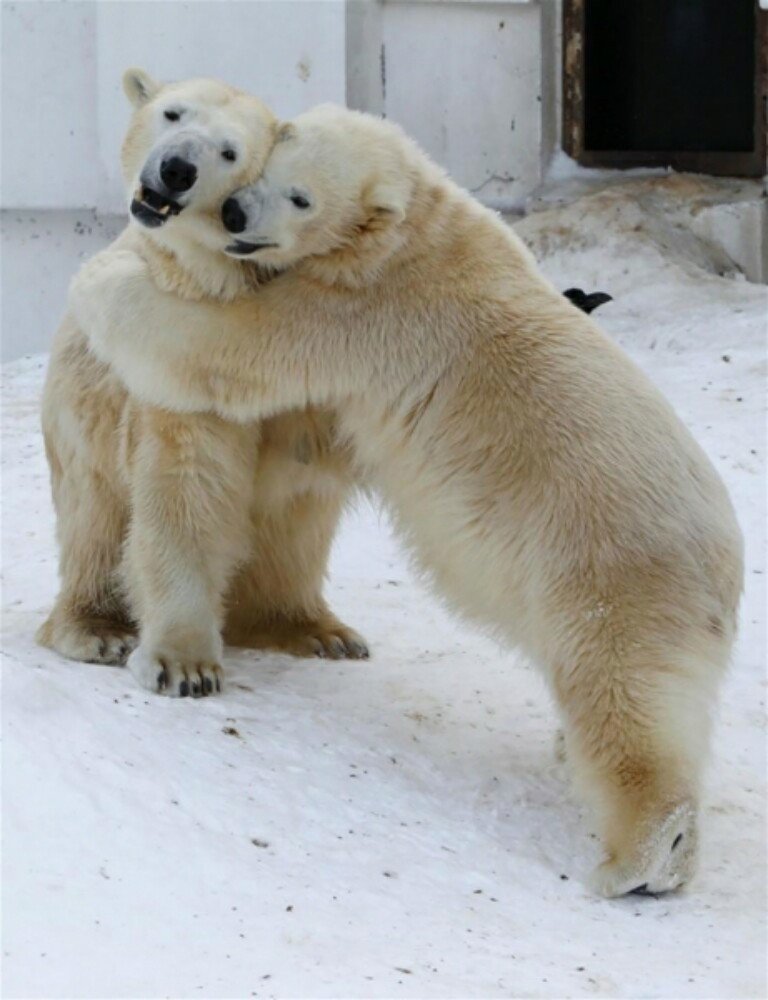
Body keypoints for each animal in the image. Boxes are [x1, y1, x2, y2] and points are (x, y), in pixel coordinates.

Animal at [37, 74, 368, 696]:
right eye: (172, 114)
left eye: (230, 152)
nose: (175, 168)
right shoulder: (174, 354)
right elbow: (186, 484)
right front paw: (182, 664)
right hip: (81, 425)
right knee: (95, 520)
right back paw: (97, 629)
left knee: (297, 529)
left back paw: (318, 630)